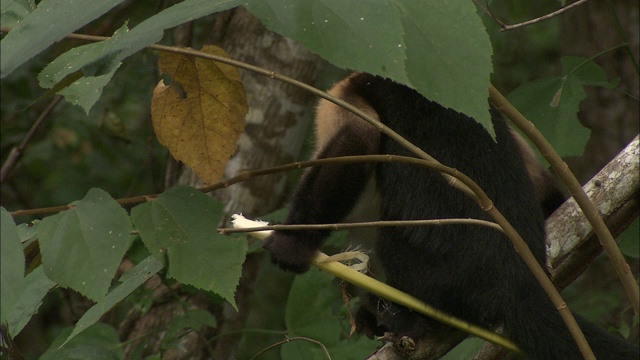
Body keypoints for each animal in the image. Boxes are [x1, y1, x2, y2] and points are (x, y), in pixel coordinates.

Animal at [262, 73, 636, 360]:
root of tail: (517, 280)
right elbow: (544, 186)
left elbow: (358, 139)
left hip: (438, 276)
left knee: (392, 239)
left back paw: (405, 319)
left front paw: (291, 243)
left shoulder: (351, 92)